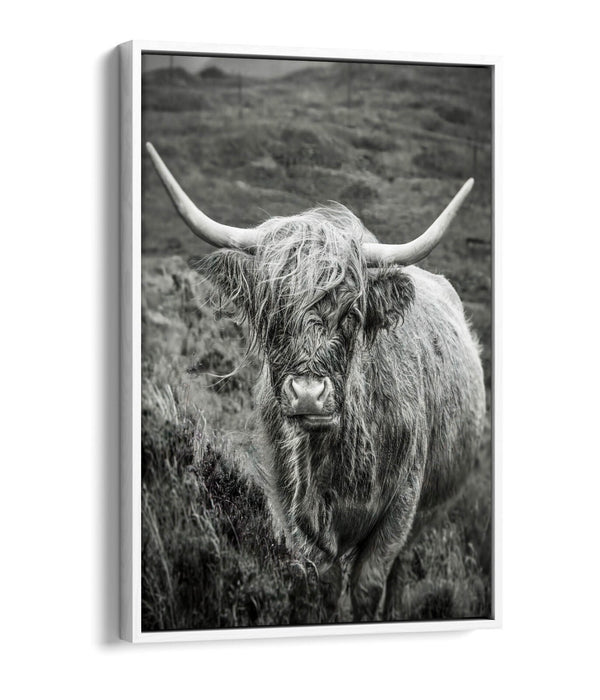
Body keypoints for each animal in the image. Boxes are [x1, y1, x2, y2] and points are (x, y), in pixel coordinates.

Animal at [146, 142, 486, 622]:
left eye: (352, 315)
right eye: (272, 314)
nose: (308, 394)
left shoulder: (401, 507)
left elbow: (369, 584)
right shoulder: (292, 510)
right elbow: (321, 584)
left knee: (402, 572)